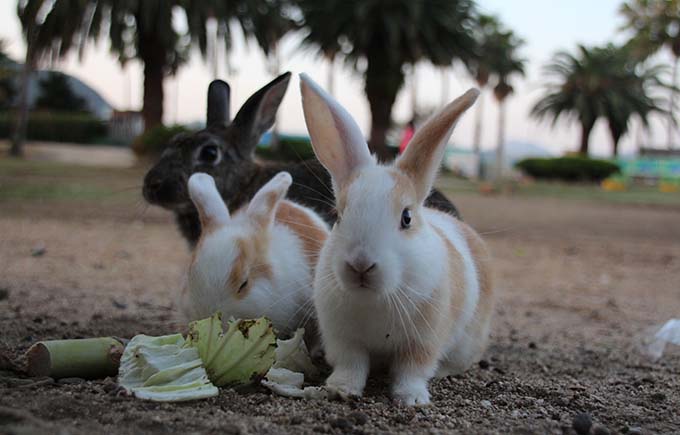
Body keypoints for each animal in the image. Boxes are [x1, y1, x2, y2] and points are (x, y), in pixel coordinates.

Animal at [300, 73, 496, 408]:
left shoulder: (423, 340)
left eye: (406, 218)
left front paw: (411, 399)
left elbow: (412, 370)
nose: (360, 265)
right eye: (338, 215)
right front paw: (341, 389)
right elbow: (351, 365)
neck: (376, 297)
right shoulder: (343, 338)